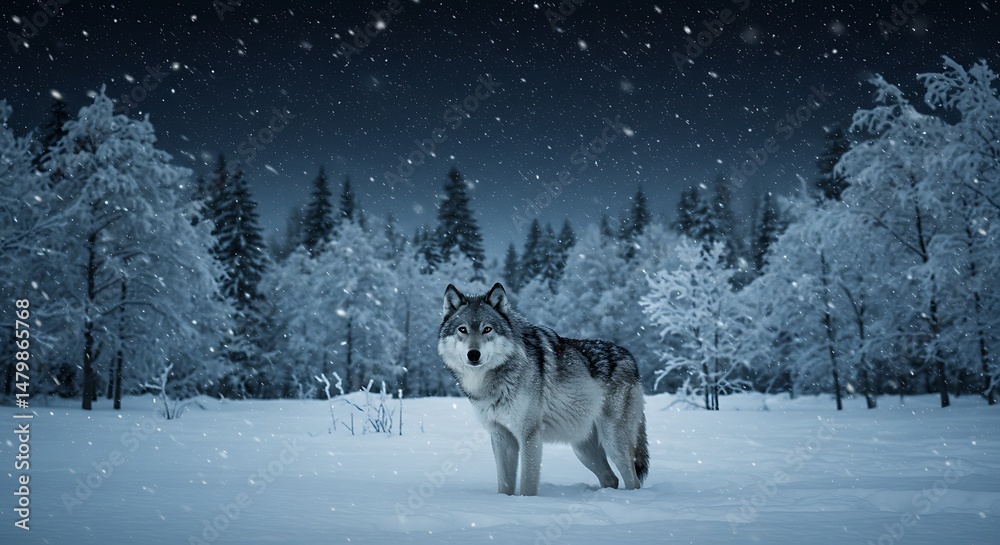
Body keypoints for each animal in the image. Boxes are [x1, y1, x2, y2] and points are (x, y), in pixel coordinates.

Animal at [438, 282, 648, 496]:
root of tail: (631, 359)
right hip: (583, 449)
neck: (494, 381)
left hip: (612, 441)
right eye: (462, 329)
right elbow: (504, 485)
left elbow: (527, 483)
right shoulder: (501, 436)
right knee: (611, 478)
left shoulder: (530, 434)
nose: (473, 354)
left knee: (633, 481)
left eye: (487, 329)